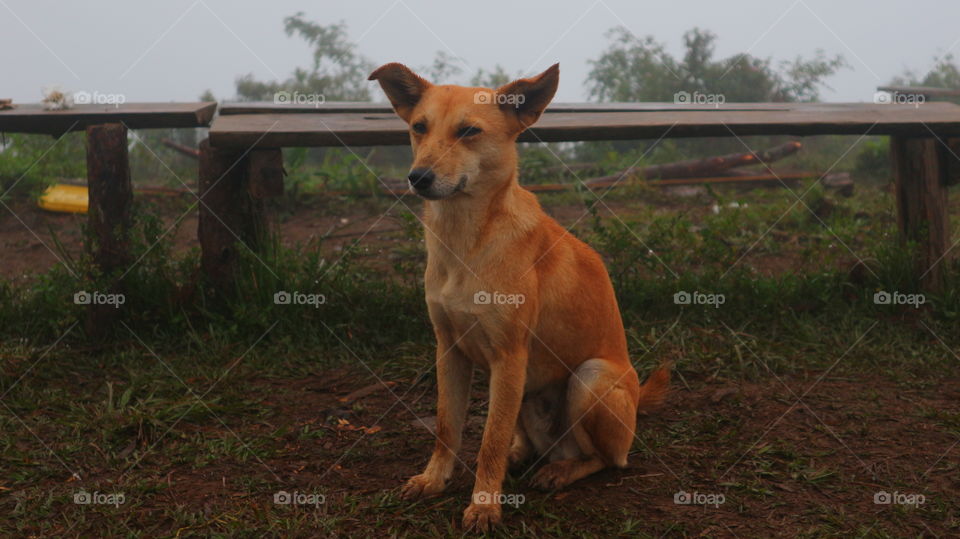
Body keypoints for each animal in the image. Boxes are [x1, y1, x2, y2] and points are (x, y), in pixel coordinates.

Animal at [368, 61, 668, 528]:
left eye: (468, 131)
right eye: (419, 127)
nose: (418, 178)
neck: (466, 241)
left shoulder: (509, 356)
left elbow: (489, 438)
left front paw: (484, 504)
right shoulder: (448, 349)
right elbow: (447, 426)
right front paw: (434, 480)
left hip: (591, 378)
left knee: (606, 459)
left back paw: (561, 471)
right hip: (527, 391)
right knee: (523, 438)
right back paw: (521, 455)